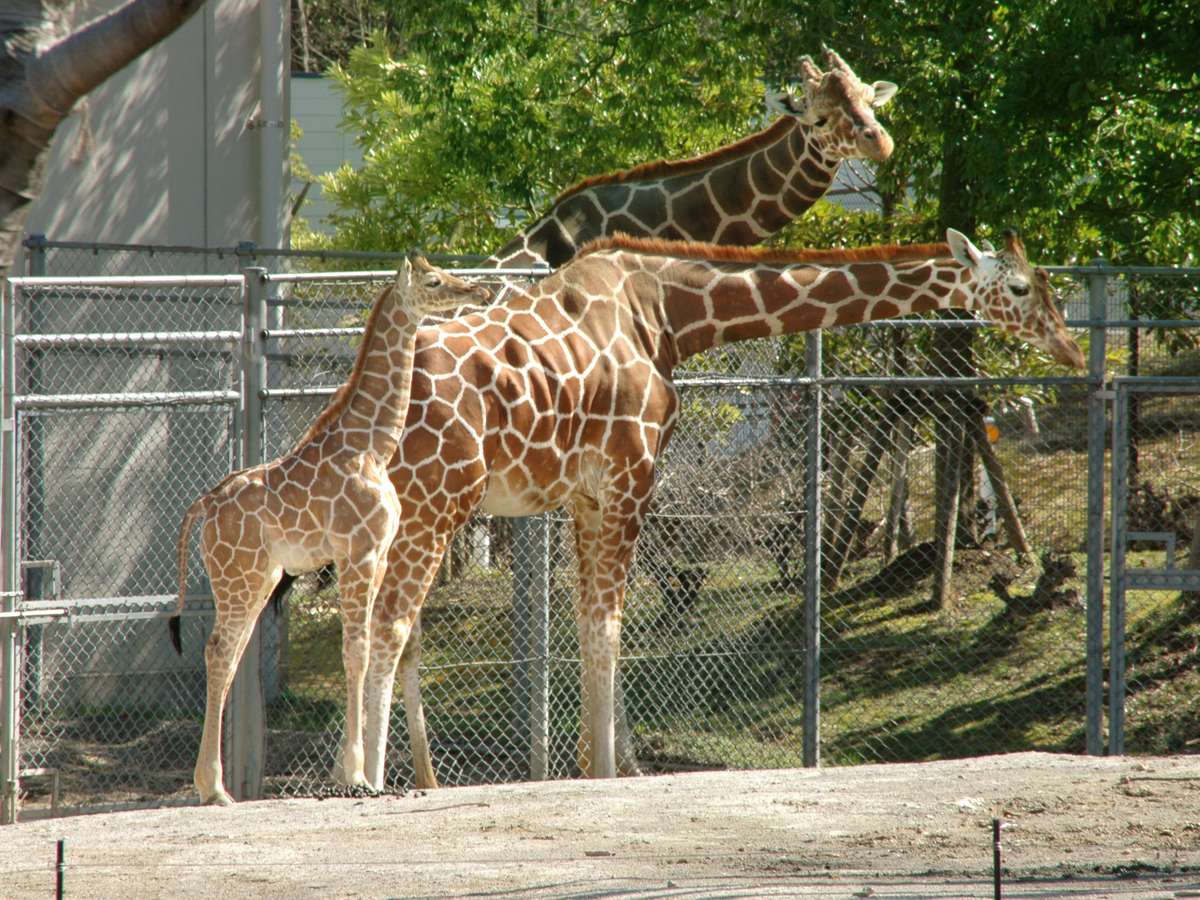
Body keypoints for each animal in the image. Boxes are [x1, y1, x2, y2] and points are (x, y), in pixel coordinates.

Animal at [168, 256, 487, 806]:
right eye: (434, 281)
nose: (480, 290)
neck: (373, 444)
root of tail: (204, 506)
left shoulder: (379, 553)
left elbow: (369, 645)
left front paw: (359, 774)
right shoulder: (358, 552)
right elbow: (355, 652)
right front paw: (356, 775)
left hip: (259, 578)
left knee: (228, 653)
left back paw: (216, 786)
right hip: (239, 575)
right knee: (219, 651)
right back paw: (213, 789)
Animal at [360, 229, 1084, 792]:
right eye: (1022, 287)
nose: (1072, 350)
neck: (668, 315)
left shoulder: (586, 494)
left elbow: (591, 625)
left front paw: (598, 764)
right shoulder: (629, 476)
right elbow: (608, 629)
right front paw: (606, 773)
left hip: (408, 511)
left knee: (395, 627)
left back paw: (413, 779)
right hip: (436, 498)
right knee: (390, 624)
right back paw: (365, 778)